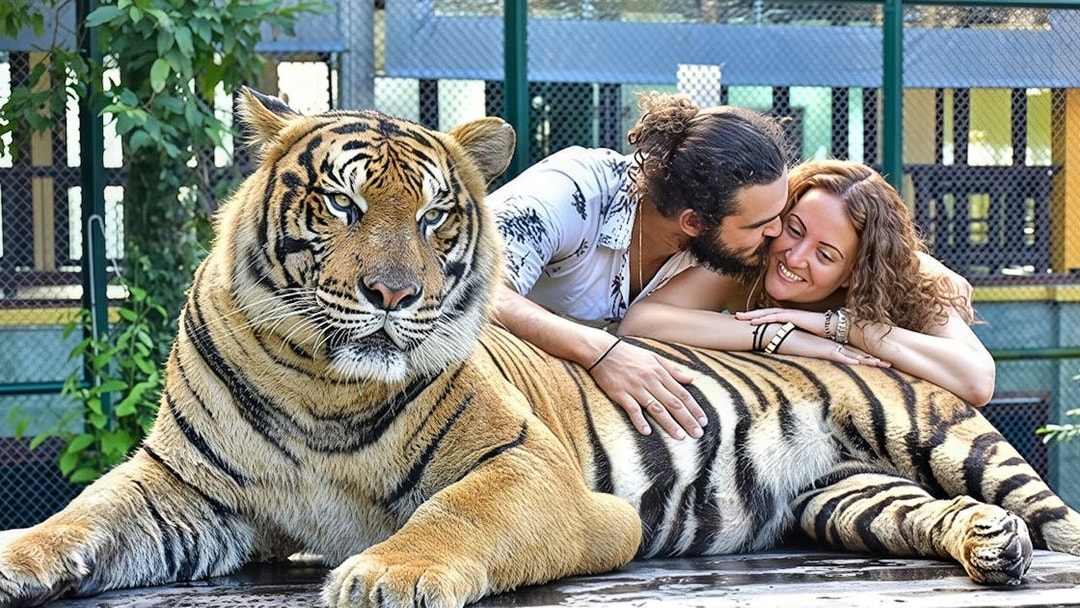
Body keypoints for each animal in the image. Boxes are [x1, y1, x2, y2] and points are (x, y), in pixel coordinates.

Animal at [1, 86, 1079, 608]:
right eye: (344, 205)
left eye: (435, 216)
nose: (394, 295)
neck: (321, 383)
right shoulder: (184, 485)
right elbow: (84, 516)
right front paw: (19, 555)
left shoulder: (534, 471)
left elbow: (456, 516)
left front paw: (389, 573)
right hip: (845, 498)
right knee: (927, 515)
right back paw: (988, 546)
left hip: (947, 435)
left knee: (1050, 513)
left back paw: (1018, 540)